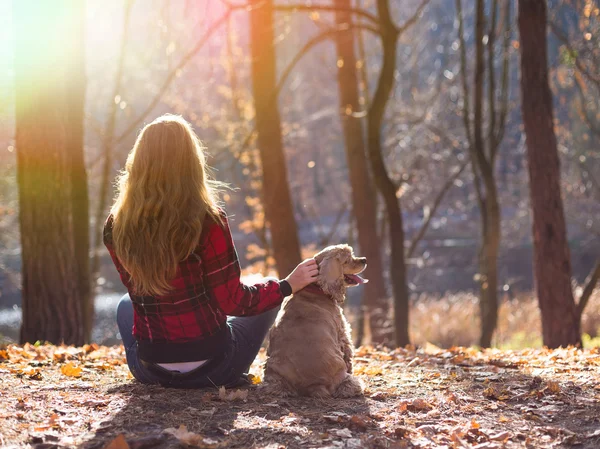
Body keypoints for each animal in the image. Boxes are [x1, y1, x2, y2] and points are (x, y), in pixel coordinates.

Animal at [262, 243, 366, 398]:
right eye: (347, 260)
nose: (364, 259)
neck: (315, 289)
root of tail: (313, 385)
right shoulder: (342, 333)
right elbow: (348, 355)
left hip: (273, 371)